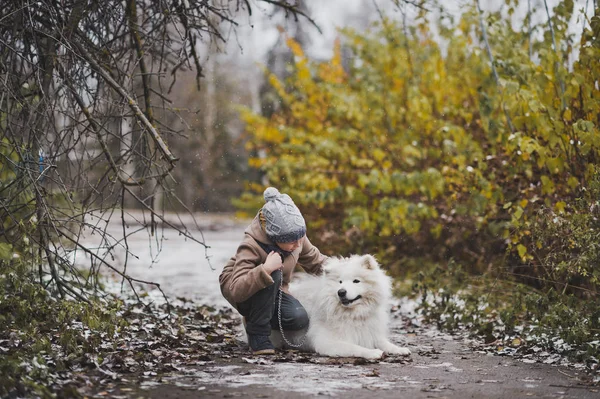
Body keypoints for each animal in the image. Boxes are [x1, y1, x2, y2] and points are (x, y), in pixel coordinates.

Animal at [276, 256, 412, 362]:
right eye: (340, 282)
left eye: (356, 281)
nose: (341, 292)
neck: (354, 315)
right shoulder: (327, 342)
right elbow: (354, 347)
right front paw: (372, 352)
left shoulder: (371, 333)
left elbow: (385, 343)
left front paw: (399, 349)